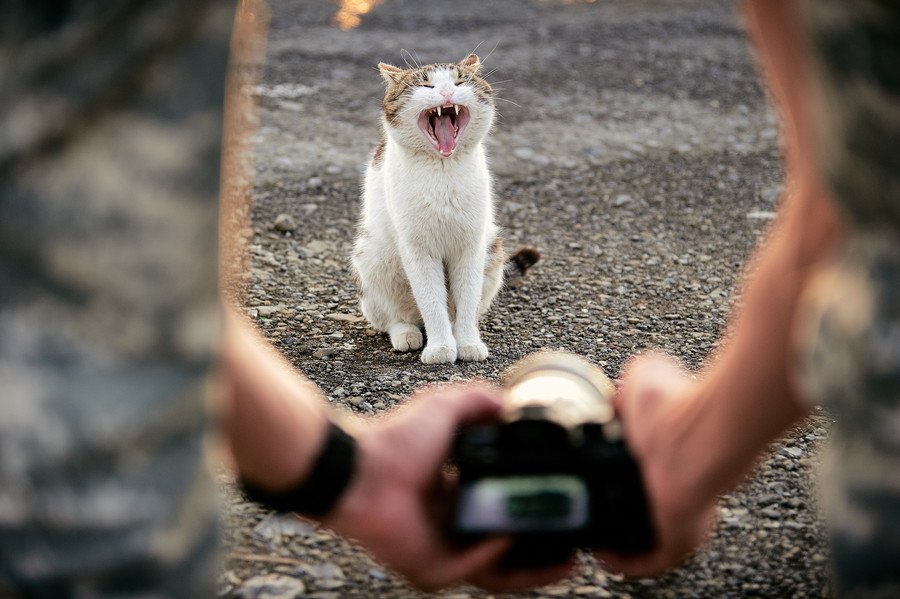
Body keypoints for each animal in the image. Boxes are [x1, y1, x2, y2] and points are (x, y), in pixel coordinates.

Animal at [350, 55, 536, 366]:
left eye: (459, 82)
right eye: (426, 85)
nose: (447, 91)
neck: (443, 169)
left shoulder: (471, 246)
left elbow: (466, 299)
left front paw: (468, 343)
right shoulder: (418, 249)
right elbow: (431, 301)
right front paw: (440, 348)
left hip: (493, 253)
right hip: (373, 257)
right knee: (394, 317)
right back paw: (406, 334)